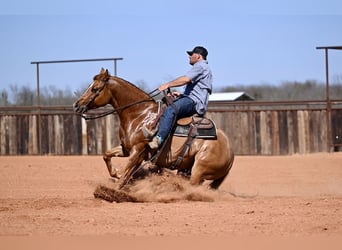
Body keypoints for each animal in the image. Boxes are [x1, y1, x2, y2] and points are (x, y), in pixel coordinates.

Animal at [74, 68, 235, 189]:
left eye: (95, 89)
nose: (77, 105)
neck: (139, 115)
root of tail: (230, 151)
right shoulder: (126, 148)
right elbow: (107, 155)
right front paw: (116, 173)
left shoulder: (138, 150)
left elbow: (126, 174)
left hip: (199, 169)